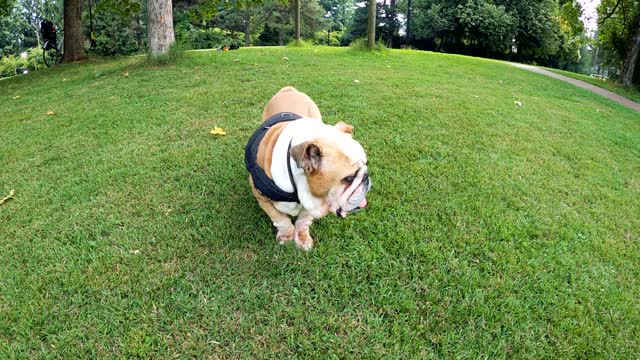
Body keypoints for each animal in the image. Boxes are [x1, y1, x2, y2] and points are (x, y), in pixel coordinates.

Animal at [246, 87, 376, 250]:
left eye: (366, 164)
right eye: (349, 178)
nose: (366, 177)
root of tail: (289, 89)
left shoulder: (313, 201)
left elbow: (303, 220)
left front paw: (303, 239)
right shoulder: (261, 198)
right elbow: (280, 219)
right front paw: (286, 235)